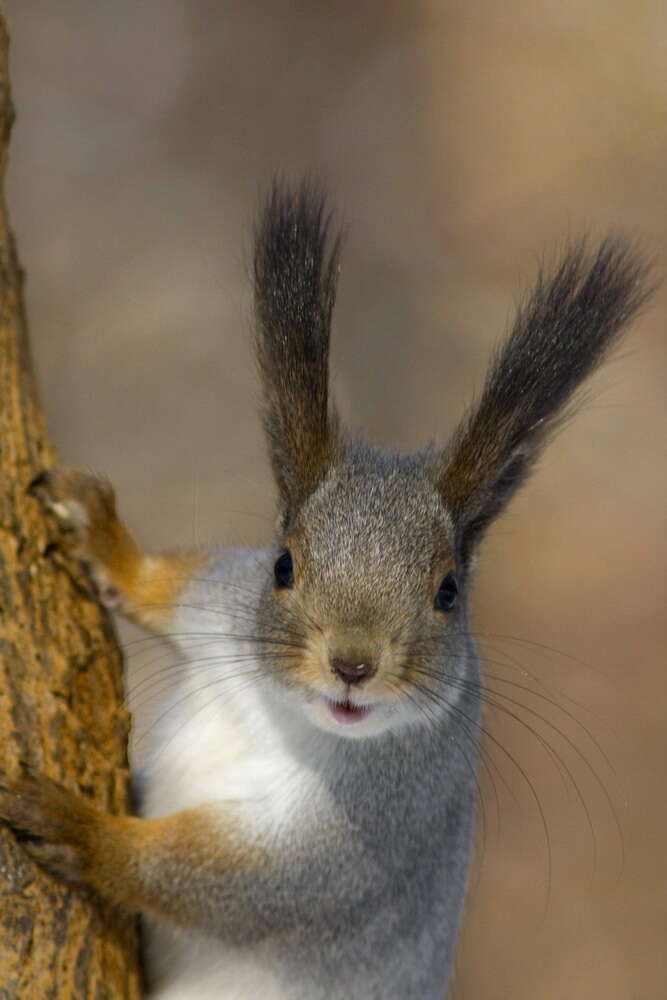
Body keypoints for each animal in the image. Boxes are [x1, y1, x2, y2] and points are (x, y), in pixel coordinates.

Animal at [0, 182, 648, 1000]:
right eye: (283, 565)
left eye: (448, 592)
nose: (353, 664)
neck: (282, 714)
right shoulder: (224, 607)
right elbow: (174, 584)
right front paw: (102, 539)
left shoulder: (369, 832)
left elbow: (223, 881)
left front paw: (82, 832)